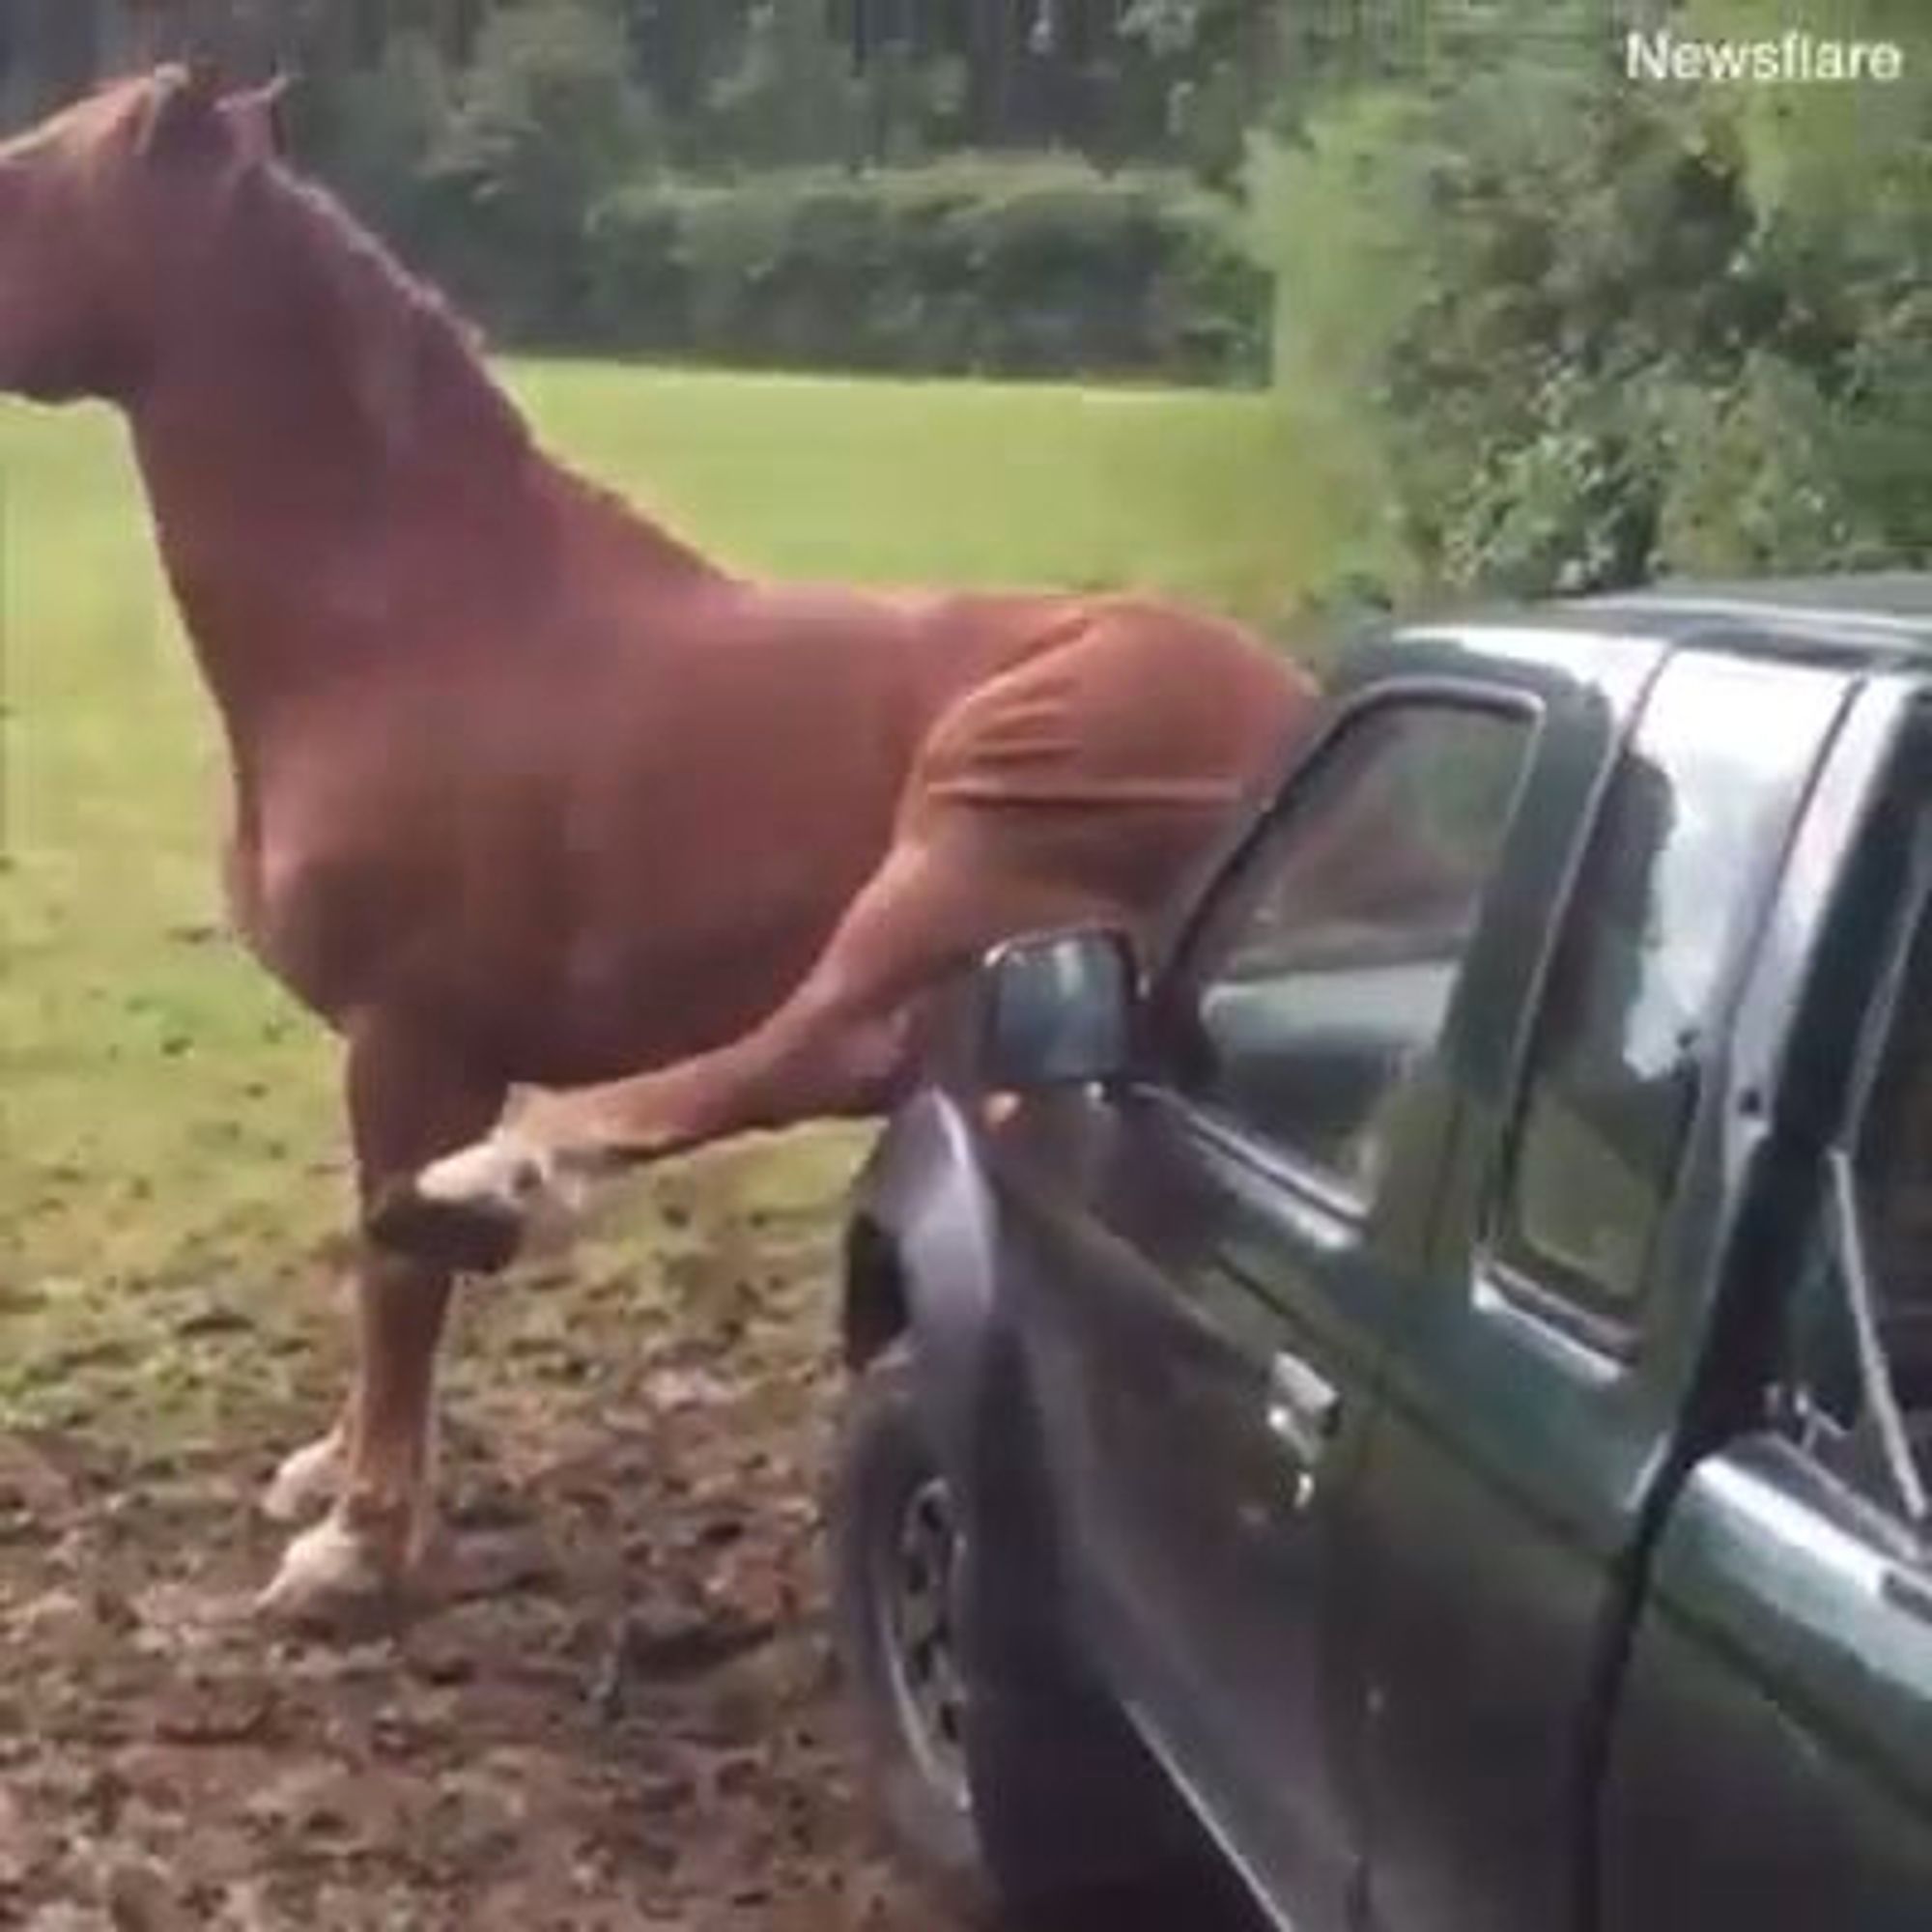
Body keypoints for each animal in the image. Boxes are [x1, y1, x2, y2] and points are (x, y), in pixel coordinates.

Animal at [0, 64, 1314, 1631]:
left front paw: (359, 1540)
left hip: (976, 820)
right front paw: (336, 1472)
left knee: (810, 1045)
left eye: (17, 179)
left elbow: (394, 1272)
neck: (407, 631)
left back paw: (511, 1182)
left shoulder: (417, 1037)